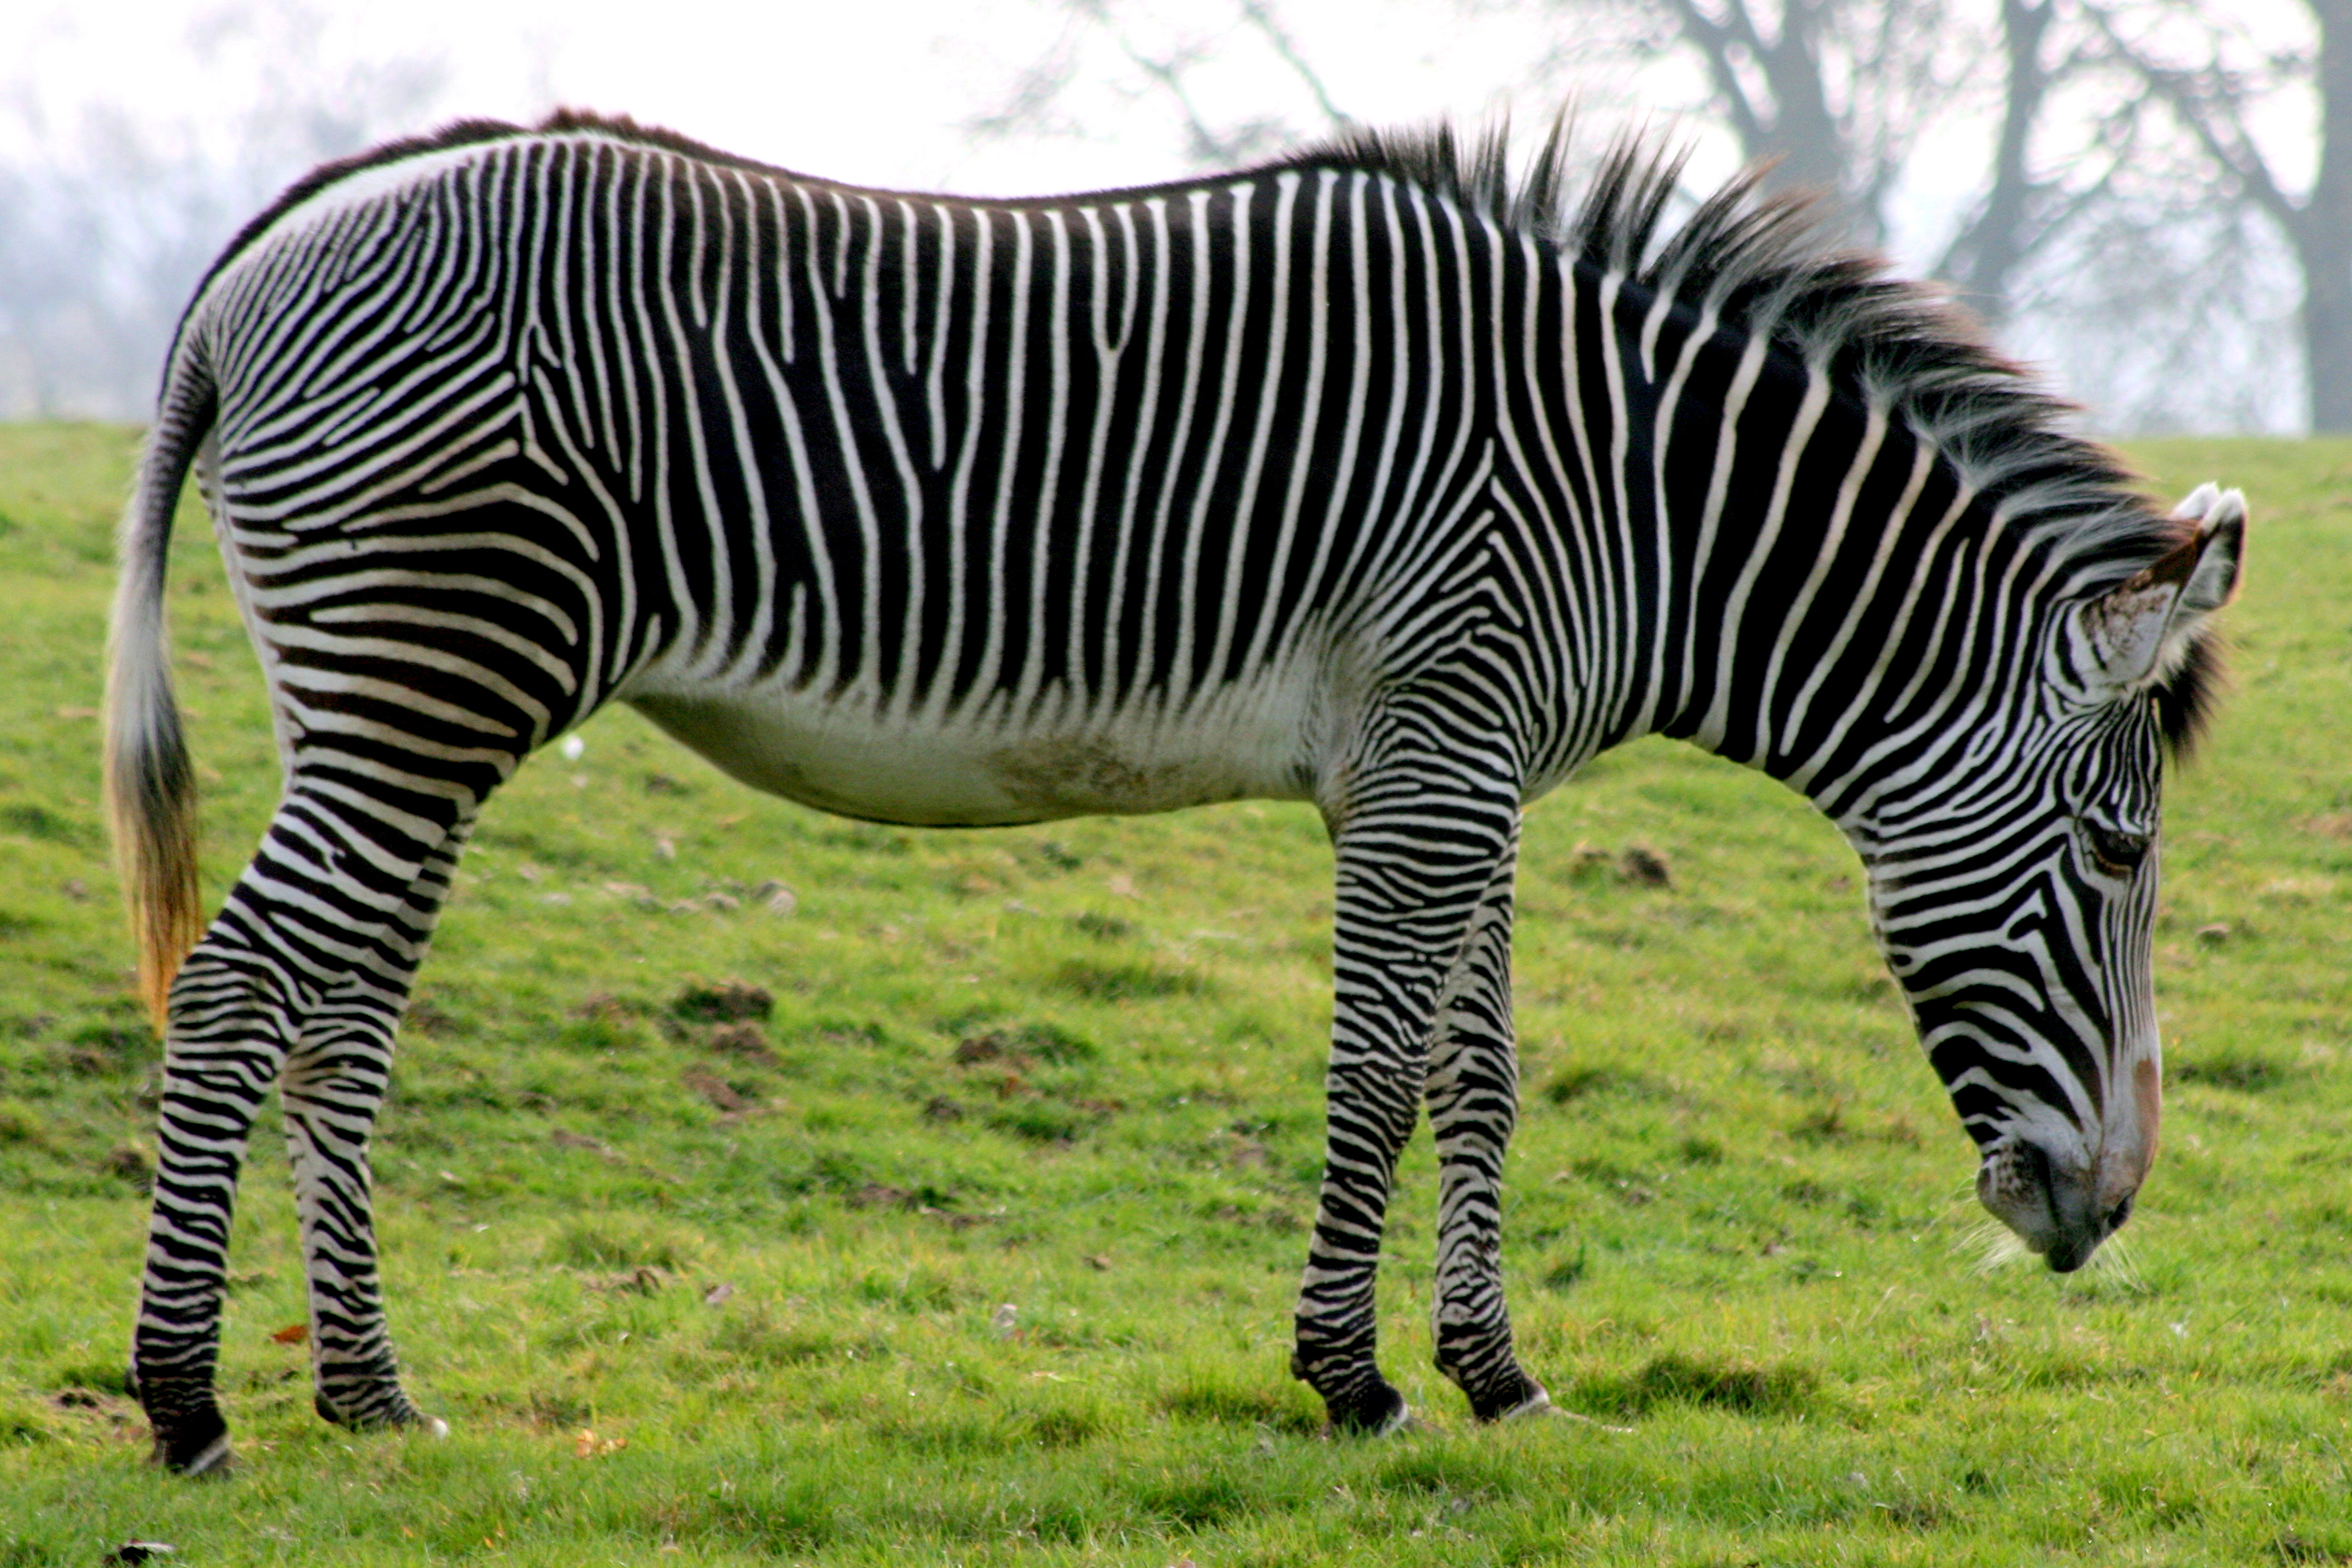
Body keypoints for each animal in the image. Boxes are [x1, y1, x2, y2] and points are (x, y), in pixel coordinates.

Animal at [107, 111, 2243, 1474]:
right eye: (2116, 847)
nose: (2113, 1208)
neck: (1644, 501)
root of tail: (259, 262)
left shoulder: (1457, 763)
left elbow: (1479, 1072)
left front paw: (1498, 1373)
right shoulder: (1432, 755)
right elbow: (1377, 1068)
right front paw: (1349, 1382)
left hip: (394, 706)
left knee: (339, 1019)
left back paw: (368, 1397)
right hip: (424, 676)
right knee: (239, 990)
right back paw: (189, 1403)